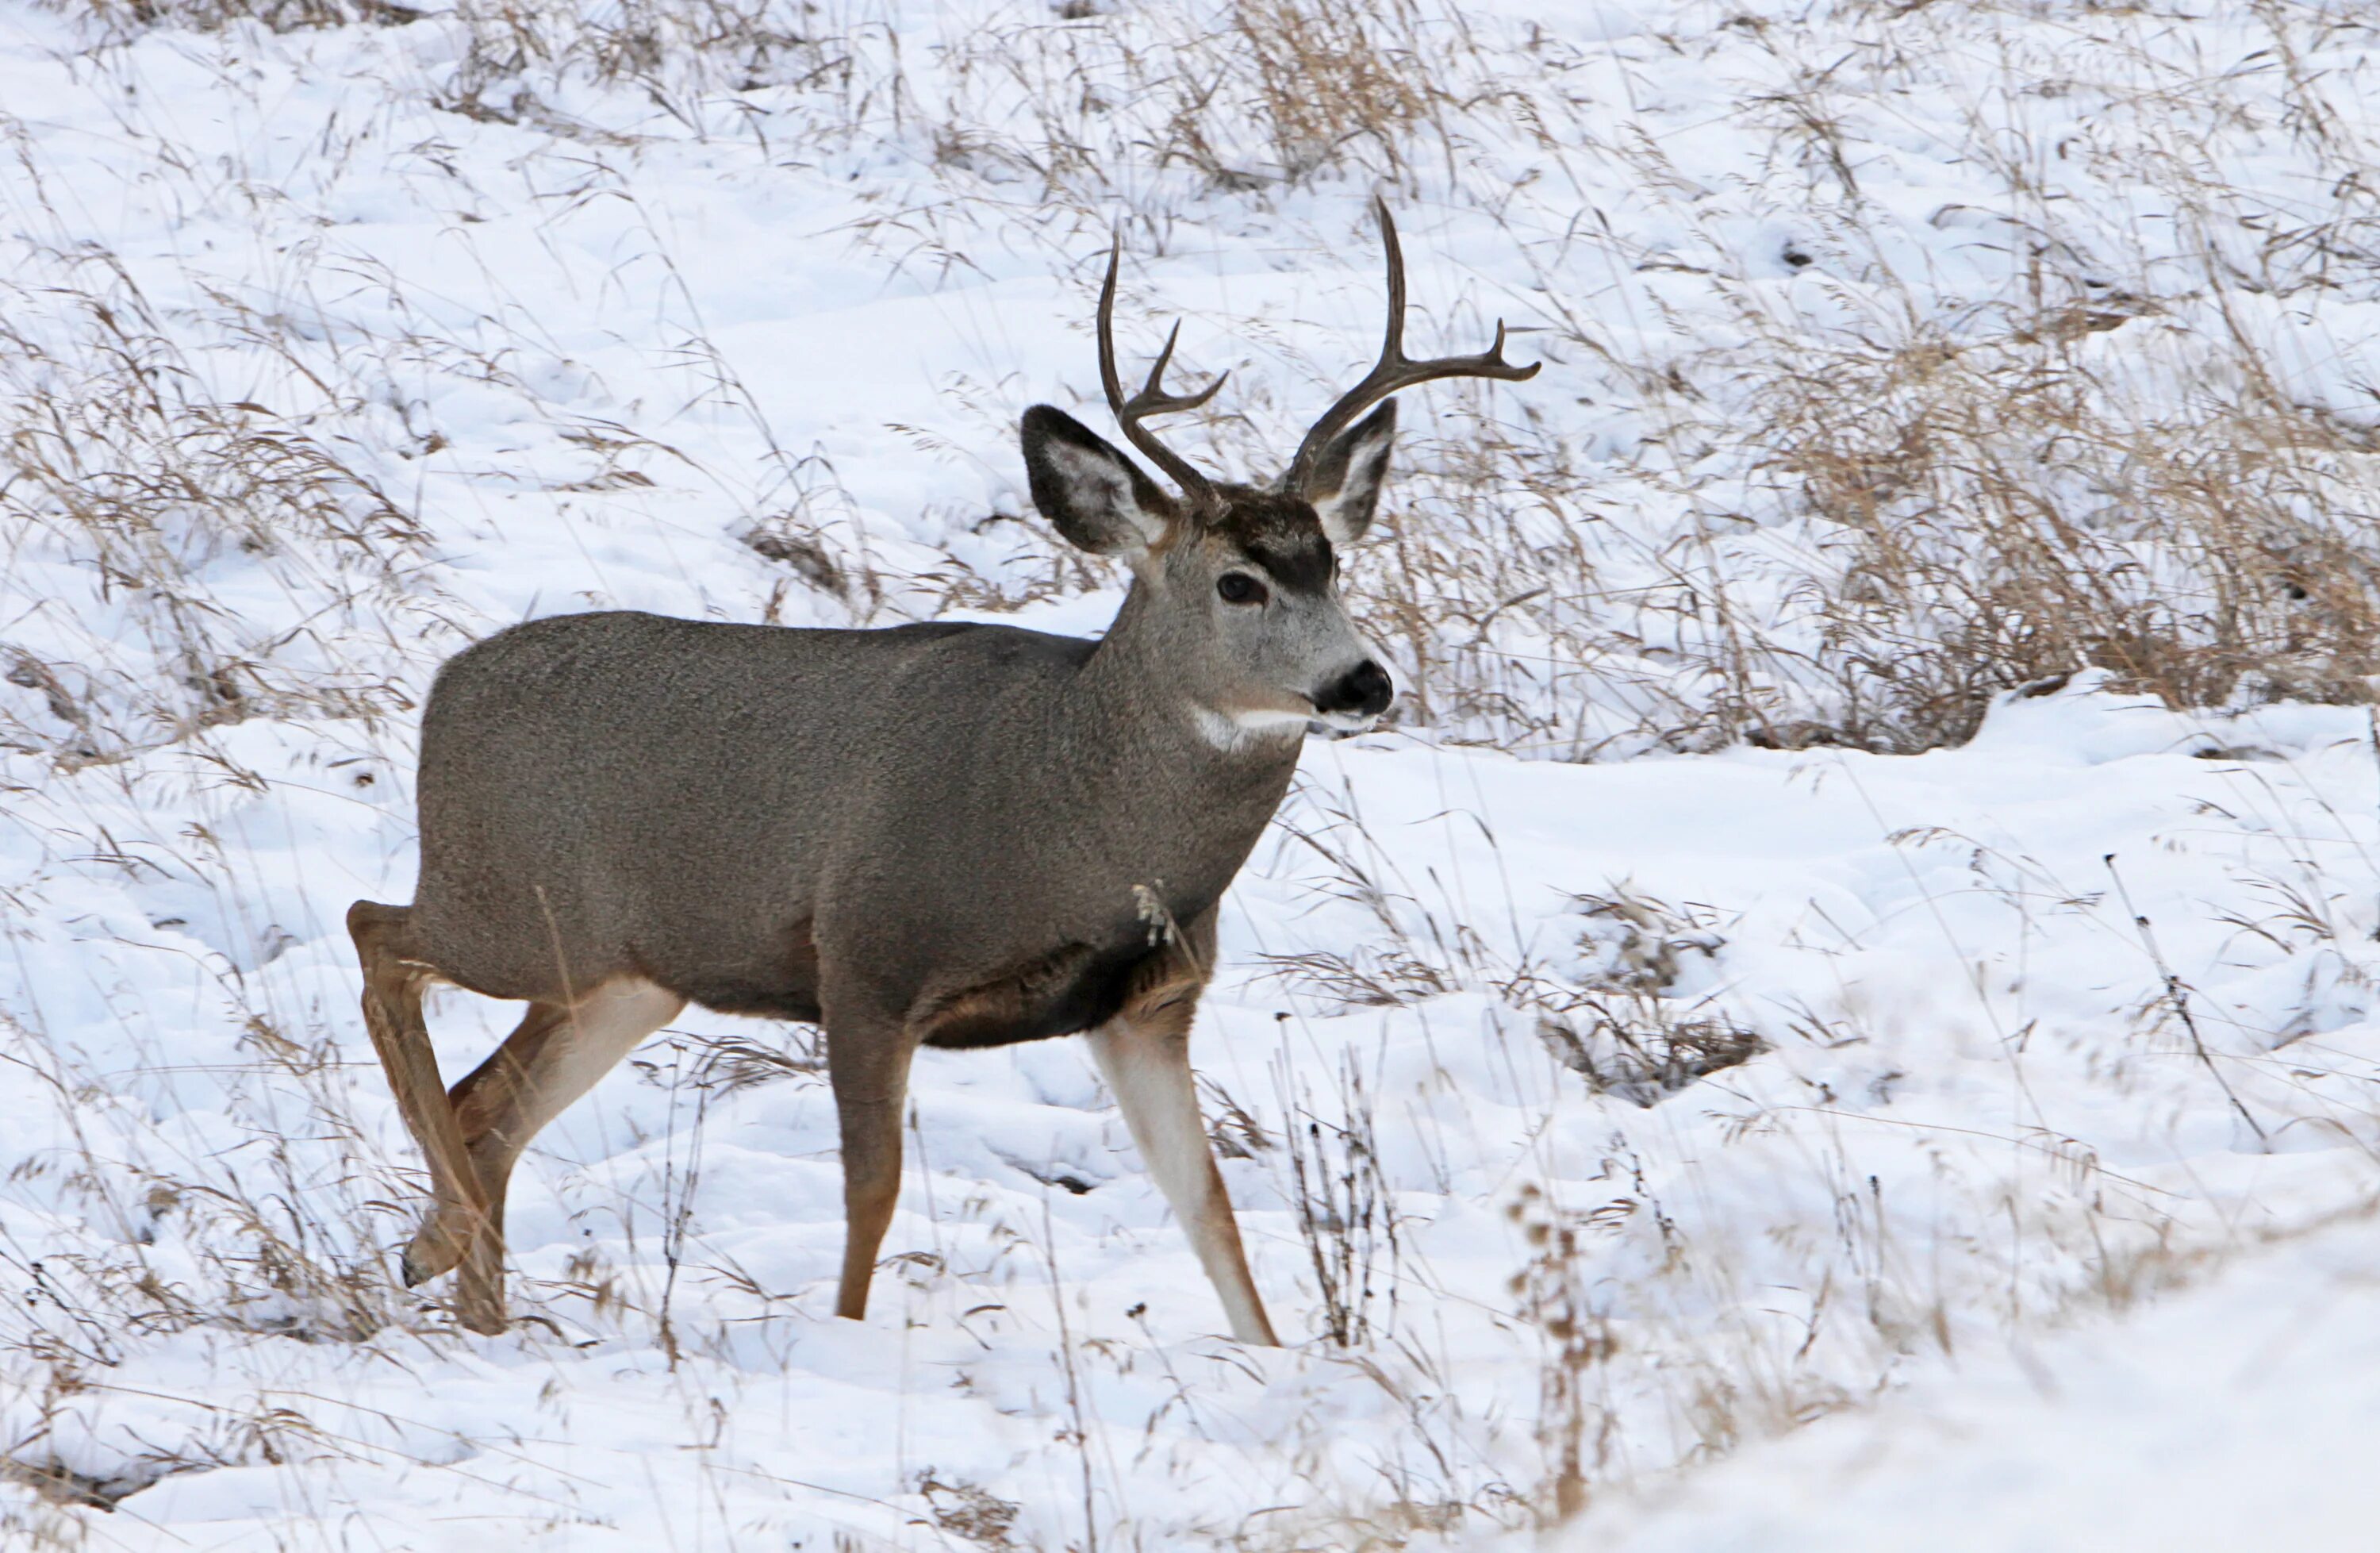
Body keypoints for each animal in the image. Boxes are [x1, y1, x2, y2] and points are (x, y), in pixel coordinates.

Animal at [352, 200, 1542, 1343]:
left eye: (1332, 562)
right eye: (1239, 582)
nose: (1363, 681)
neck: (1075, 816)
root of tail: (445, 689)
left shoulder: (1146, 1006)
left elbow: (1209, 1210)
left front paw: (1283, 1359)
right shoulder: (868, 958)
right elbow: (872, 1192)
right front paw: (847, 1345)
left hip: (625, 972)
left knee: (488, 1104)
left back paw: (464, 1286)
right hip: (507, 908)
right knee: (378, 936)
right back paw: (440, 1245)